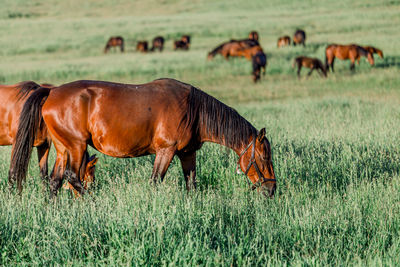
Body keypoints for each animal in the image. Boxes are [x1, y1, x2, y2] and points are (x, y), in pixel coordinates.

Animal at [10, 79, 278, 199]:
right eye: (264, 157)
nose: (272, 188)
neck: (195, 110)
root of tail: (51, 91)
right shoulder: (165, 151)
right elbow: (155, 181)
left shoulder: (187, 153)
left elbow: (191, 183)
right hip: (75, 147)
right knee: (72, 176)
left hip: (63, 149)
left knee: (55, 182)